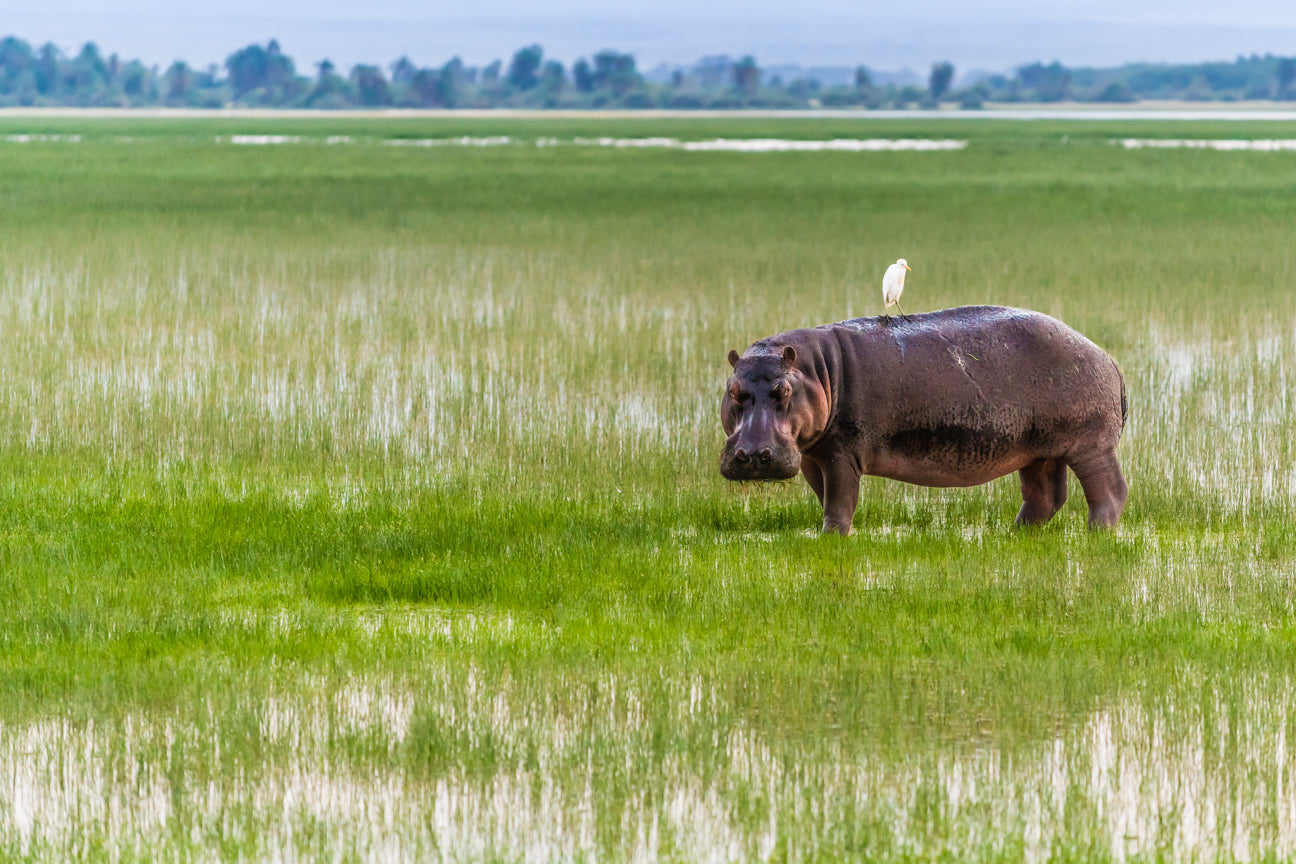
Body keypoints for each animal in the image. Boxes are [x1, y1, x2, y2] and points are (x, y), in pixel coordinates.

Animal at [720, 306, 1128, 534]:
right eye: (732, 390)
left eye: (783, 391)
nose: (752, 456)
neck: (816, 370)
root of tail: (1106, 356)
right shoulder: (812, 456)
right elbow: (825, 497)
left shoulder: (841, 454)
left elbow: (840, 499)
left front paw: (832, 538)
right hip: (1039, 450)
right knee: (1045, 496)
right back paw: (1016, 534)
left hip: (1090, 446)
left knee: (1109, 490)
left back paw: (1096, 533)